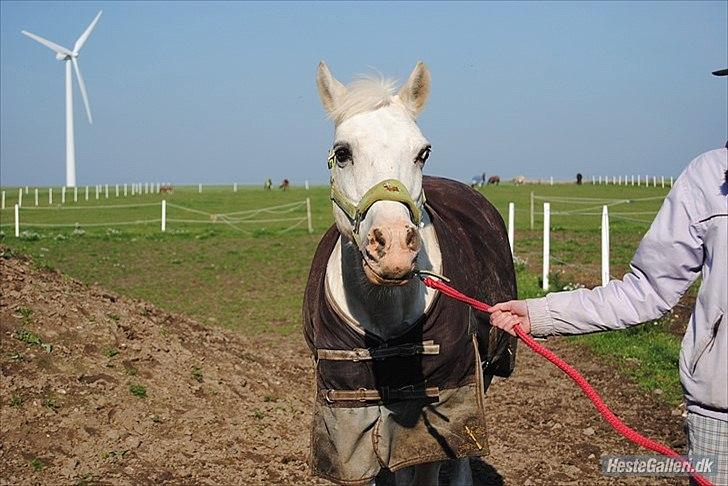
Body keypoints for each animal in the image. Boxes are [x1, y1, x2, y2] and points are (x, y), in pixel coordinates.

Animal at [303, 61, 517, 485]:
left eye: (423, 153)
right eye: (343, 153)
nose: (395, 249)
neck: (383, 314)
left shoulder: (436, 401)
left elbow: (427, 464)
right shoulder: (348, 413)